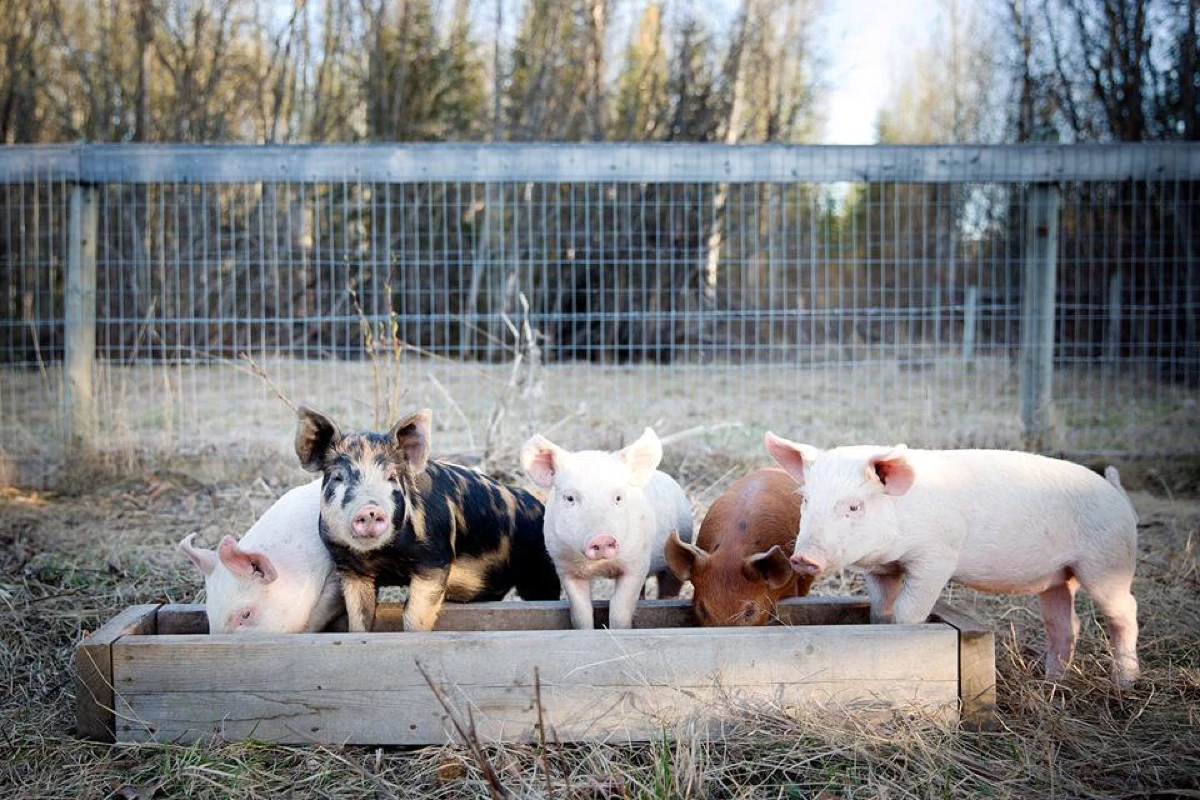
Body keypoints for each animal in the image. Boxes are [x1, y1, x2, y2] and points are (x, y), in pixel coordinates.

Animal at [292, 407, 559, 633]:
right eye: (338, 477)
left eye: (391, 477)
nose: (369, 508)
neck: (384, 556)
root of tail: (536, 502)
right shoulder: (350, 570)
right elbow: (358, 620)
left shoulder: (435, 558)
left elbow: (413, 614)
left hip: (541, 567)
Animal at [520, 429, 700, 628]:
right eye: (570, 498)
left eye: (618, 497)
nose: (602, 538)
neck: (601, 567)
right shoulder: (564, 566)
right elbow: (581, 612)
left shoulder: (637, 562)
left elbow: (619, 609)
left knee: (669, 588)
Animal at [763, 434, 1137, 686]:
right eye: (806, 500)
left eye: (854, 506)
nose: (803, 558)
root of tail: (1118, 496)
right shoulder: (881, 570)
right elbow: (880, 611)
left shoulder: (936, 557)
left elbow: (907, 612)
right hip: (1059, 576)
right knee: (1065, 623)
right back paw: (1051, 681)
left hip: (1107, 563)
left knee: (1124, 613)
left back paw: (1125, 682)